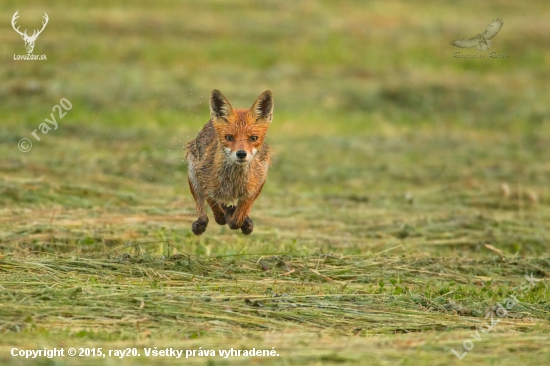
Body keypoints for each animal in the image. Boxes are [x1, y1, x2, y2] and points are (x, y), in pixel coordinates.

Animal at [187, 90, 274, 236]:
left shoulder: (254, 185)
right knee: (201, 208)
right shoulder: (203, 180)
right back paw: (202, 222)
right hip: (192, 171)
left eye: (253, 138)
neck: (233, 181)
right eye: (229, 137)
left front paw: (236, 217)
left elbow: (237, 219)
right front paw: (225, 213)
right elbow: (217, 211)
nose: (241, 154)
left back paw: (245, 220)